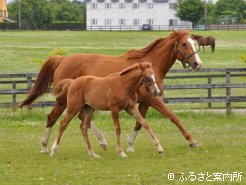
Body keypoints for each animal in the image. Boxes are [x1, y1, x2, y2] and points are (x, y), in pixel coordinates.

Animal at [19, 29, 202, 152]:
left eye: (194, 43)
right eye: (184, 44)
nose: (197, 64)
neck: (151, 65)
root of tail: (62, 60)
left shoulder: (143, 102)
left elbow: (140, 123)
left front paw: (129, 146)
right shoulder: (153, 99)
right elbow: (173, 117)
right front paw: (192, 141)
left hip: (83, 102)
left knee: (81, 118)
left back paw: (102, 141)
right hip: (64, 100)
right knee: (53, 117)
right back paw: (45, 147)